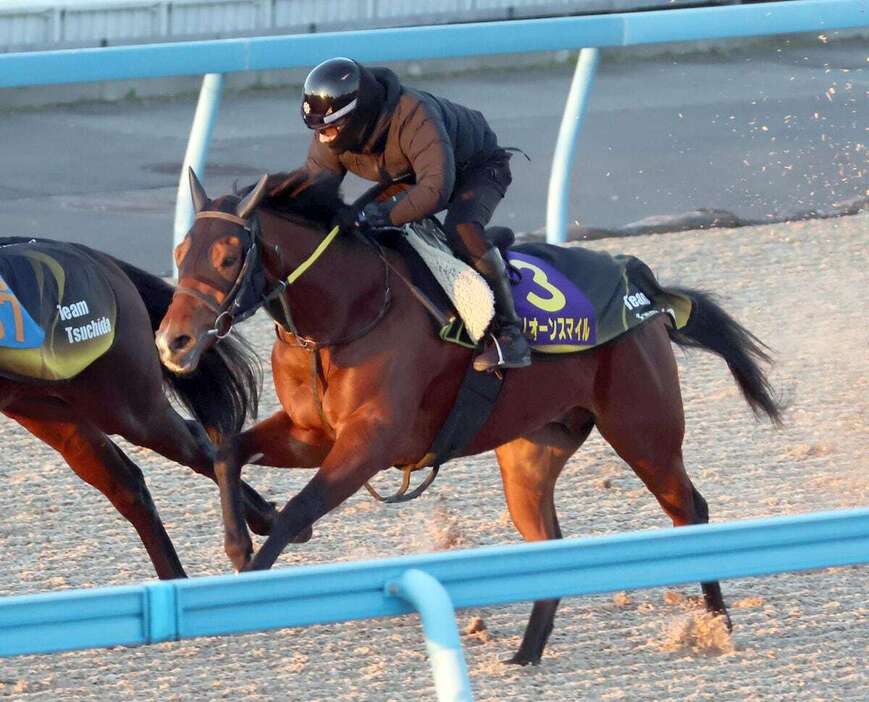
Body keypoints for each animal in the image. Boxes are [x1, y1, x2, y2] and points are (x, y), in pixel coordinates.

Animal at [0, 239, 274, 580]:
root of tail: (97, 257)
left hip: (126, 406)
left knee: (191, 441)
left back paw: (267, 520)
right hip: (48, 410)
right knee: (127, 484)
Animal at [154, 172, 780, 664]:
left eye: (228, 256)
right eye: (180, 253)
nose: (171, 341)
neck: (352, 310)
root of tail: (642, 288)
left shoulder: (370, 441)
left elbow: (298, 511)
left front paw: (248, 582)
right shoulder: (312, 434)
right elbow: (228, 451)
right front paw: (239, 545)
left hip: (643, 430)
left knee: (690, 510)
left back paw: (716, 625)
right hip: (532, 453)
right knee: (550, 540)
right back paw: (526, 655)